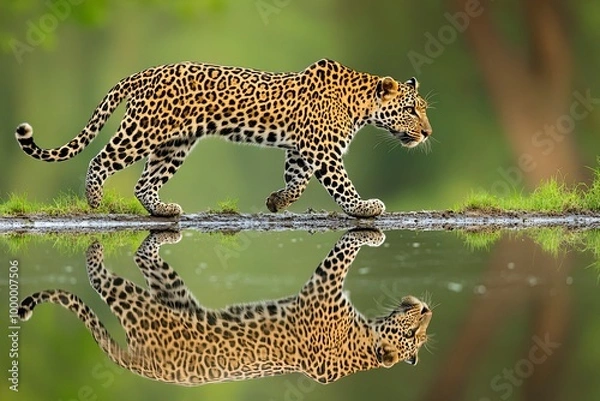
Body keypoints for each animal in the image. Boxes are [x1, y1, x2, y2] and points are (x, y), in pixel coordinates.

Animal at [12, 57, 432, 217]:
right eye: (412, 110)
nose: (428, 132)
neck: (361, 105)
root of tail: (143, 73)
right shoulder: (323, 151)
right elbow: (341, 185)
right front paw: (364, 207)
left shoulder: (302, 149)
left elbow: (297, 182)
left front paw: (276, 202)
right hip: (143, 131)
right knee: (101, 158)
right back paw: (95, 199)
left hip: (175, 145)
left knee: (145, 184)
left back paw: (162, 210)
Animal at [18, 230, 432, 386]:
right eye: (415, 333)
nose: (426, 309)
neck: (361, 342)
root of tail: (142, 366)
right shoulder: (324, 286)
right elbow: (347, 249)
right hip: (145, 301)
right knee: (101, 276)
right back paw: (94, 249)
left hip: (162, 296)